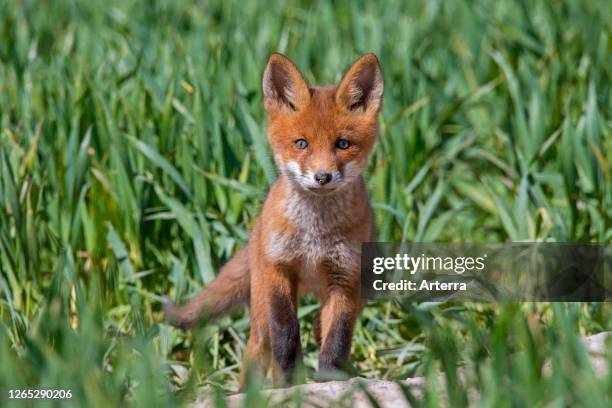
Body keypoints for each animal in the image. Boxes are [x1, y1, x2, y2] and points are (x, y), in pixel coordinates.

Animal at [163, 52, 382, 388]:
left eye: (342, 144)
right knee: (260, 346)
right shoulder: (279, 269)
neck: (314, 235)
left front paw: (330, 379)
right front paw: (290, 376)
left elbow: (337, 338)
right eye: (301, 143)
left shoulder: (344, 278)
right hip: (260, 306)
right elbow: (286, 334)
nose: (322, 176)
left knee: (321, 326)